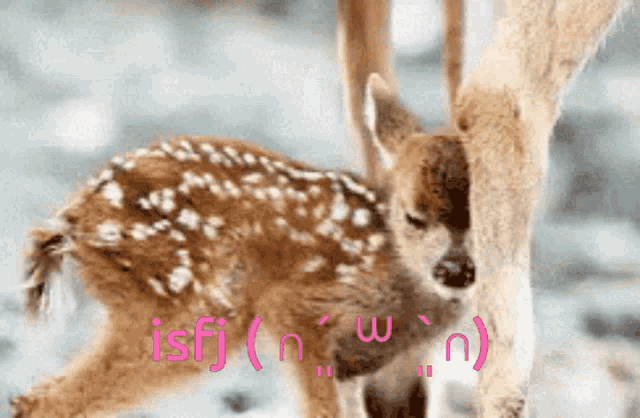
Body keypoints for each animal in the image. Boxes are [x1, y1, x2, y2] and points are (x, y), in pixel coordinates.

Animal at [10, 0, 628, 416]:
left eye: (478, 218)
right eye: (413, 216)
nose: (457, 269)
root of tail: (73, 222)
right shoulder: (300, 311)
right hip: (192, 308)